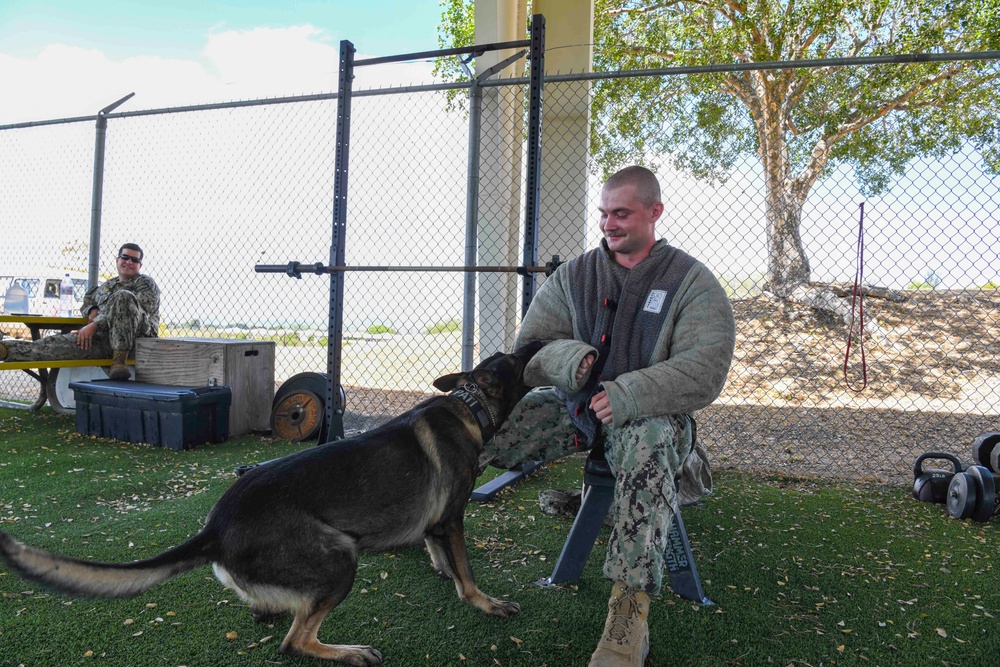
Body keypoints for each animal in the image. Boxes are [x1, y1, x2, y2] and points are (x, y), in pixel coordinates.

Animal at [0, 342, 544, 664]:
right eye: (516, 360)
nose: (533, 342)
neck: (470, 405)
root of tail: (215, 529)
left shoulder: (436, 526)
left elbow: (439, 555)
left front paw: (442, 571)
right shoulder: (452, 520)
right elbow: (466, 574)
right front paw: (483, 601)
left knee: (277, 612)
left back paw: (274, 610)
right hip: (340, 557)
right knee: (295, 641)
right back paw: (346, 650)